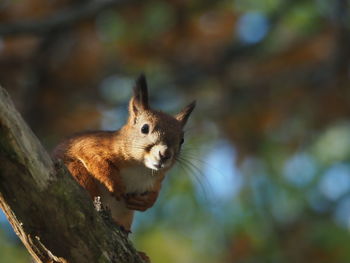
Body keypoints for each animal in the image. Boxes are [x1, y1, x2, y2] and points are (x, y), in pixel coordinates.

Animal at [52, 74, 196, 233]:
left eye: (182, 140)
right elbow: (97, 162)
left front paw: (146, 202)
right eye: (145, 128)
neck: (140, 168)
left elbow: (155, 192)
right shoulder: (90, 145)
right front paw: (115, 184)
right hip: (75, 170)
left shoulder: (156, 180)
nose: (165, 154)